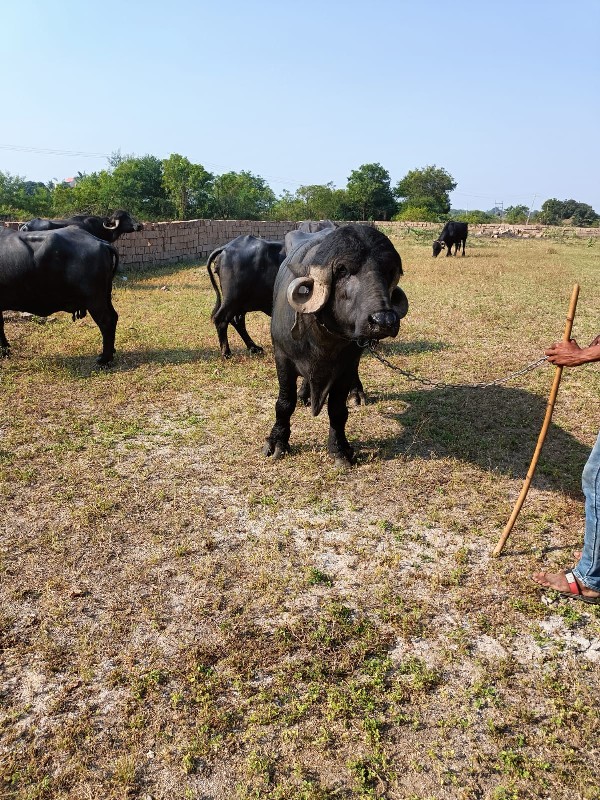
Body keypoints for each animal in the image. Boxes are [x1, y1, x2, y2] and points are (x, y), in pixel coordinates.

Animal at [0, 223, 120, 364]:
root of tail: (101, 242)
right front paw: (6, 351)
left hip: (95, 300)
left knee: (106, 321)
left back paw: (105, 358)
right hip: (106, 296)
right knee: (114, 317)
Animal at [262, 223, 408, 468]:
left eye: (389, 270)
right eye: (342, 270)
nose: (383, 321)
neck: (321, 339)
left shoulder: (346, 365)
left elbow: (338, 409)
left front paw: (340, 449)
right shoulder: (282, 357)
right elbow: (284, 403)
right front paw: (277, 442)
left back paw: (357, 394)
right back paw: (305, 394)